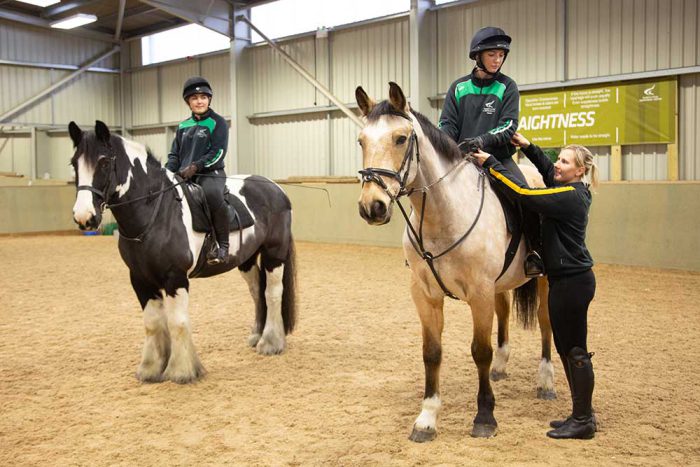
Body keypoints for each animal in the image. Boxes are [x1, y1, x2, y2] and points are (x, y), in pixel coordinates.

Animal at [67, 120, 294, 384]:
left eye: (104, 162)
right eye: (74, 163)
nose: (84, 217)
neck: (156, 212)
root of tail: (276, 189)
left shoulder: (175, 277)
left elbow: (177, 322)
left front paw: (182, 371)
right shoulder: (140, 279)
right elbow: (153, 323)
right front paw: (151, 369)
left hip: (274, 254)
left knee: (273, 292)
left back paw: (271, 342)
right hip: (246, 260)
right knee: (257, 292)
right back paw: (257, 335)